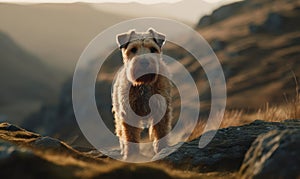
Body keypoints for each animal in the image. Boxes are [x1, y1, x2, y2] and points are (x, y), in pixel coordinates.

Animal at [112, 28, 173, 159]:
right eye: (133, 49)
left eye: (153, 49)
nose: (144, 62)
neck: (143, 84)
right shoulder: (128, 113)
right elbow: (130, 136)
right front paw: (131, 155)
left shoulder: (161, 110)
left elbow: (161, 132)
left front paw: (161, 149)